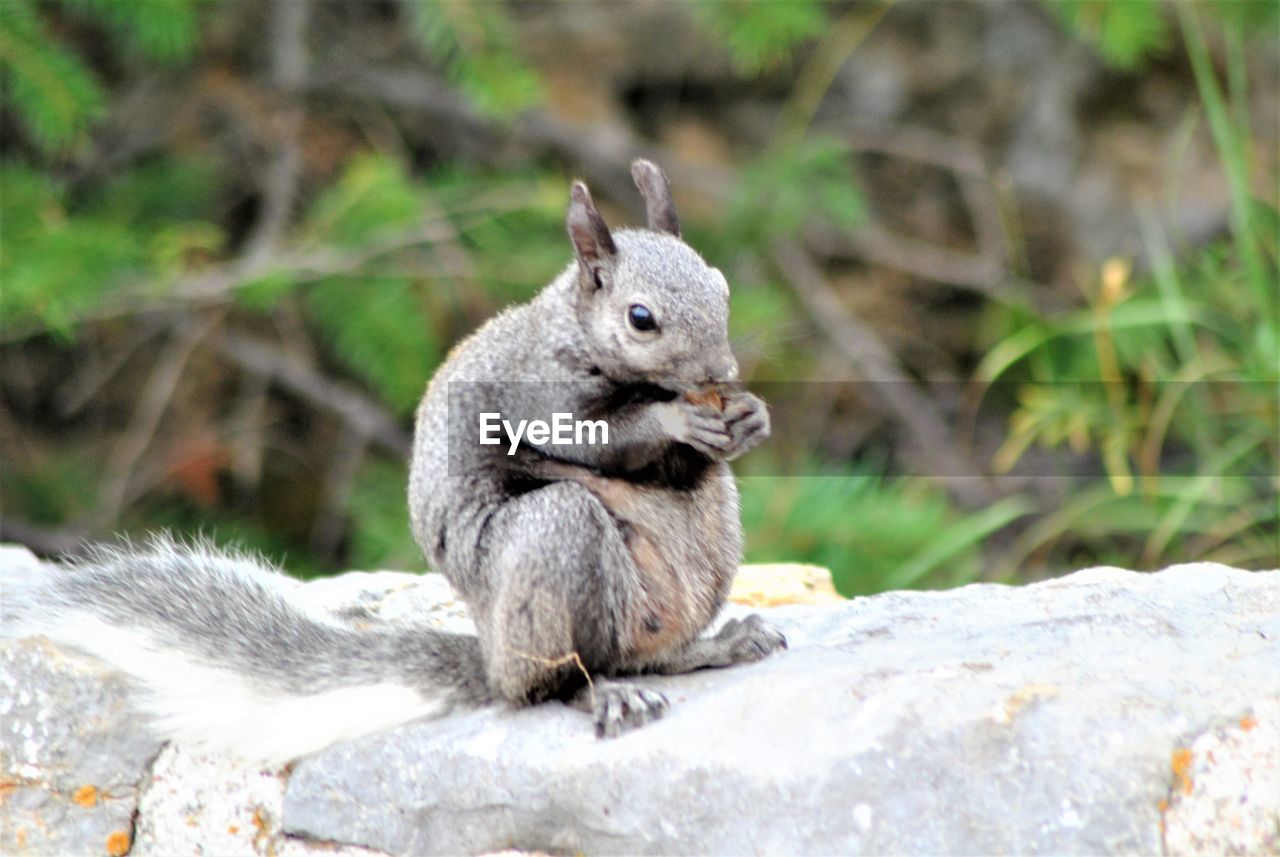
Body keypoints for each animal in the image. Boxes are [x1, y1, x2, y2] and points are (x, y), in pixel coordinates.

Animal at [0, 159, 783, 767]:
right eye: (640, 318)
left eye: (721, 288)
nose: (722, 370)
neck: (574, 334)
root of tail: (490, 653)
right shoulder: (533, 391)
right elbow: (592, 438)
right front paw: (674, 416)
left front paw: (749, 416)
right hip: (550, 549)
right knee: (553, 683)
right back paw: (600, 693)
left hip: (709, 539)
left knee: (643, 649)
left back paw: (713, 644)